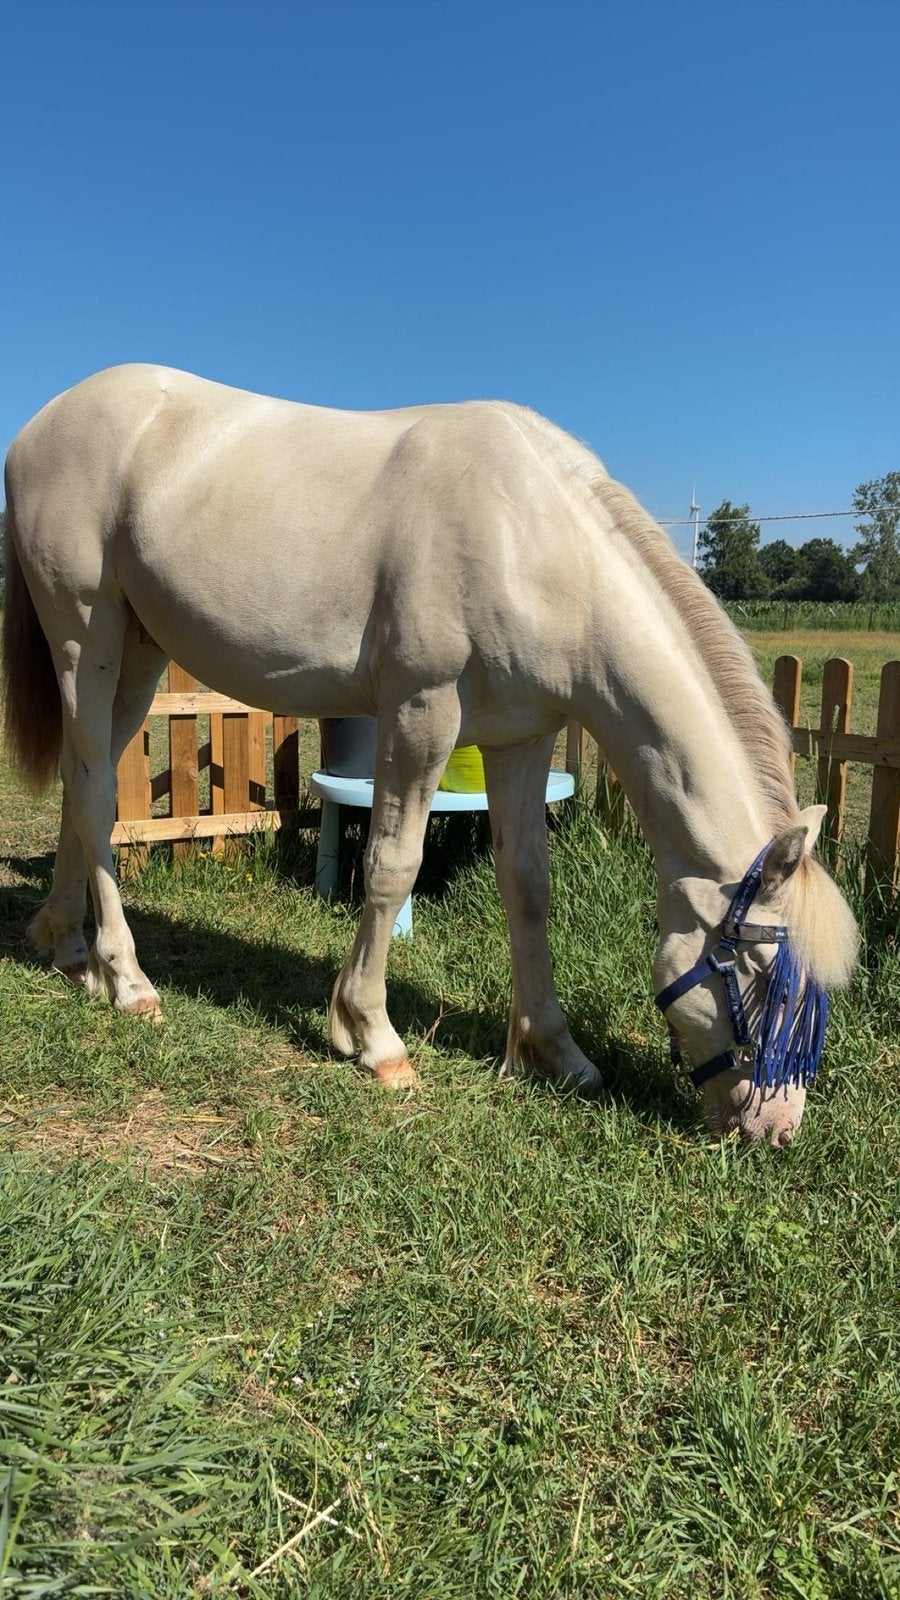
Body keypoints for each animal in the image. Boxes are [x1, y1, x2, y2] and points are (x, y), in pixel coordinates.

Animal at [2, 365, 859, 1146]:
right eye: (759, 976)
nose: (777, 1128)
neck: (532, 539)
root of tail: (46, 421)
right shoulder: (422, 713)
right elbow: (391, 865)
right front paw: (372, 1038)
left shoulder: (520, 738)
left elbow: (527, 885)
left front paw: (553, 1051)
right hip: (85, 640)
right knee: (96, 798)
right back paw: (126, 979)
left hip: (138, 652)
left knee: (82, 787)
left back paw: (66, 946)